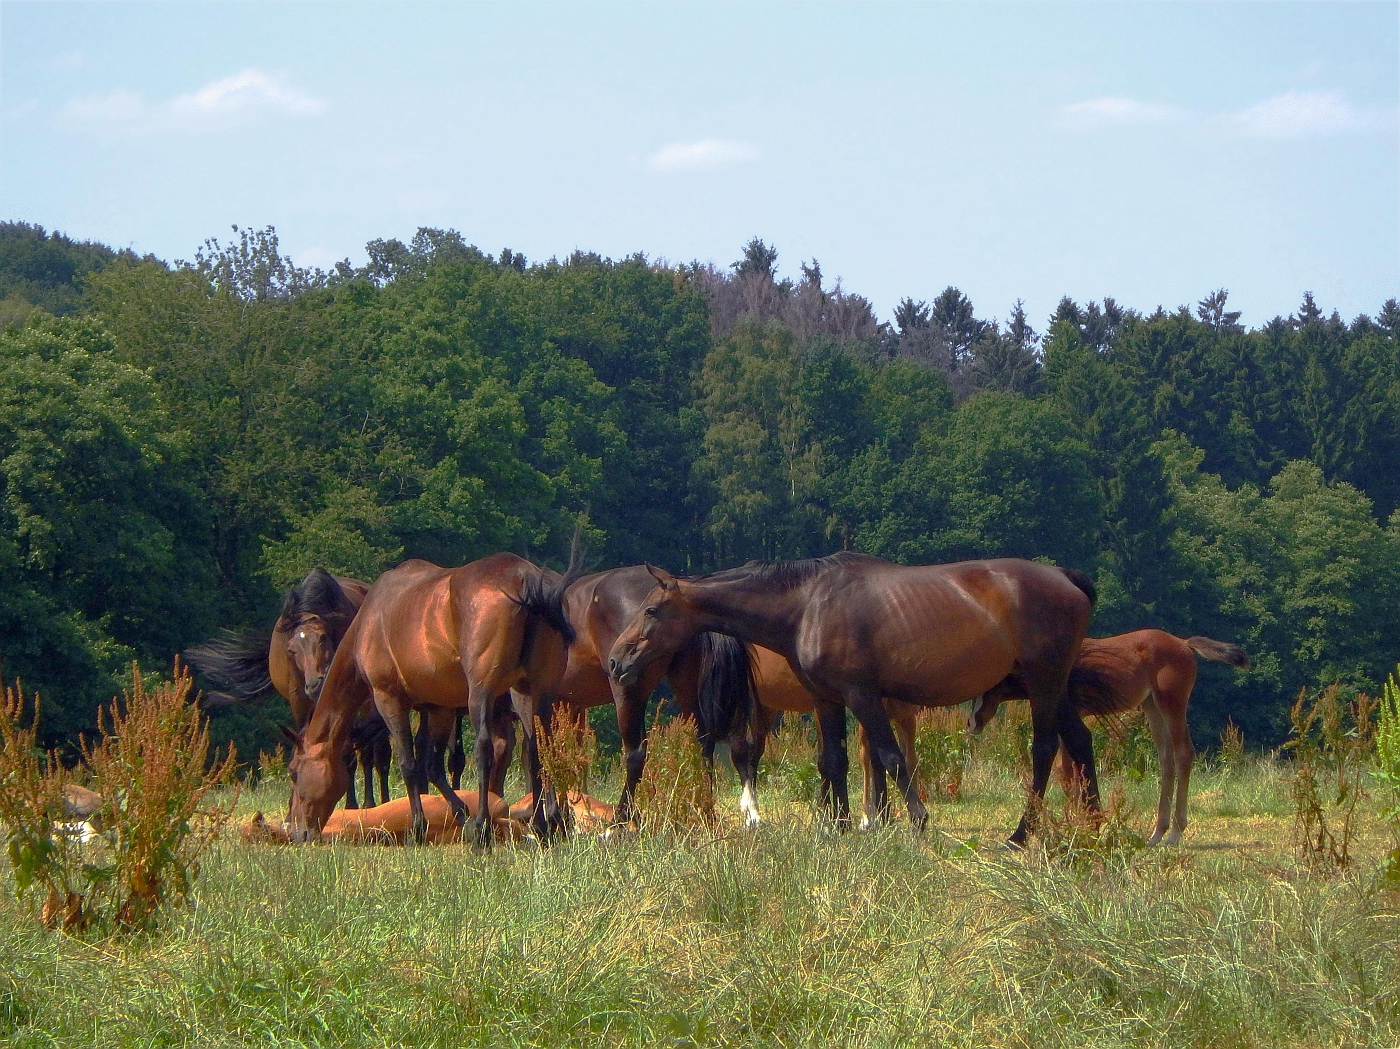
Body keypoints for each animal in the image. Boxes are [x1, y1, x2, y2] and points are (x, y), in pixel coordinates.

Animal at [287, 543, 582, 845]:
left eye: (294, 773)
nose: (298, 831)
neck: (370, 621)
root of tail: (525, 579)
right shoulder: (439, 708)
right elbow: (433, 765)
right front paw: (460, 812)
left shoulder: (390, 699)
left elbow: (409, 763)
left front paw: (419, 827)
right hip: (533, 694)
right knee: (539, 751)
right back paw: (545, 824)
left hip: (483, 694)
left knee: (485, 749)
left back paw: (484, 829)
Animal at [613, 551, 1103, 845]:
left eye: (651, 610)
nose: (617, 660)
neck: (807, 604)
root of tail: (1066, 578)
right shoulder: (828, 699)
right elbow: (834, 760)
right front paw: (840, 826)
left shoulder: (862, 696)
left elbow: (890, 757)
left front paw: (916, 820)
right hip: (1052, 688)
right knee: (1079, 741)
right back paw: (1093, 823)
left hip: (1043, 684)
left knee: (1045, 749)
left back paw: (1021, 833)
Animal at [968, 630, 1254, 840]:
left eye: (987, 687)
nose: (972, 723)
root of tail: (1184, 643)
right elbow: (1070, 770)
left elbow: (1068, 769)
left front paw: (1076, 821)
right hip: (1152, 706)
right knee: (1166, 758)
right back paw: (1157, 833)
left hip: (1171, 703)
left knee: (1183, 753)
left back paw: (1174, 833)